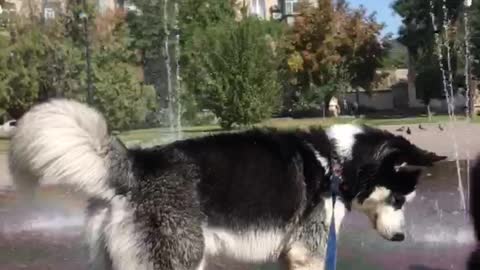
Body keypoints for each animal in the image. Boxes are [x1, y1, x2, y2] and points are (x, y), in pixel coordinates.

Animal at [9, 99, 446, 270]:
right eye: (400, 198)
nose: (402, 239)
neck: (337, 163)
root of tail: (138, 161)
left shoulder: (290, 255)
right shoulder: (310, 253)